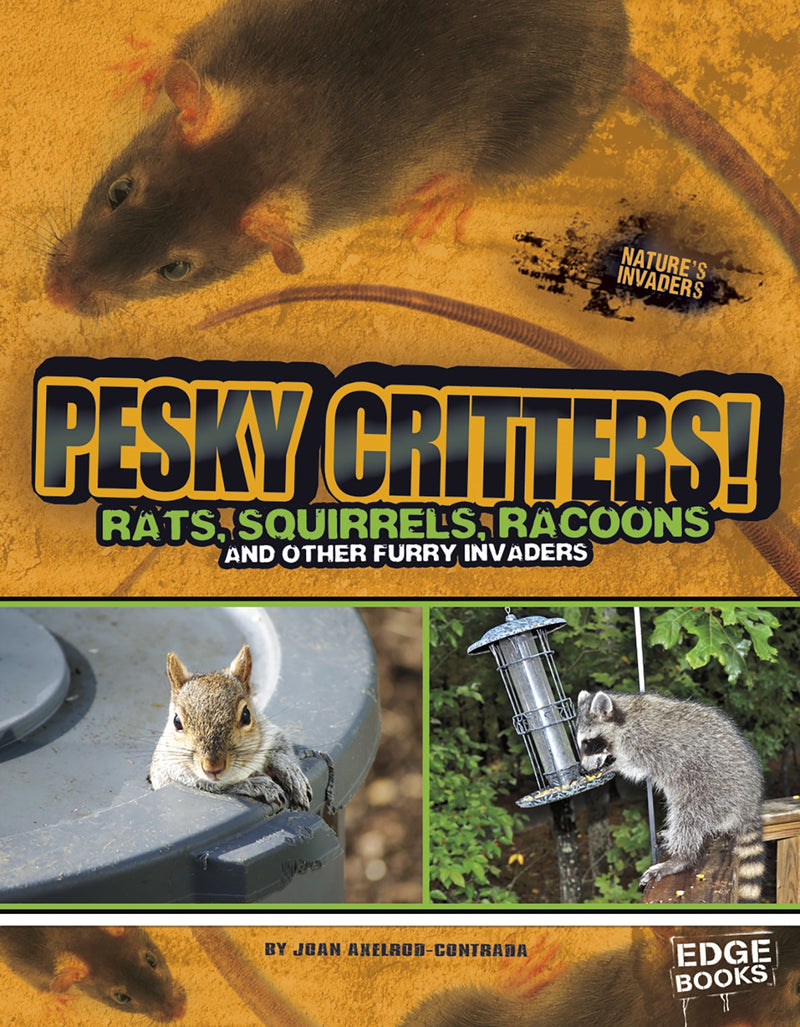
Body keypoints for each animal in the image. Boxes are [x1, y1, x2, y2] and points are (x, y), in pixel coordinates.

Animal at [149, 643, 316, 811]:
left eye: (246, 715)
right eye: (176, 721)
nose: (213, 768)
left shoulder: (271, 732)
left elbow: (282, 748)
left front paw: (291, 773)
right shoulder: (168, 770)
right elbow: (216, 787)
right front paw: (257, 785)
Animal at [575, 690, 765, 902]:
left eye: (587, 743)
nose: (582, 769)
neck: (623, 719)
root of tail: (750, 801)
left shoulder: (645, 743)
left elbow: (637, 766)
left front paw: (615, 766)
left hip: (712, 789)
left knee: (689, 816)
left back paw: (681, 858)